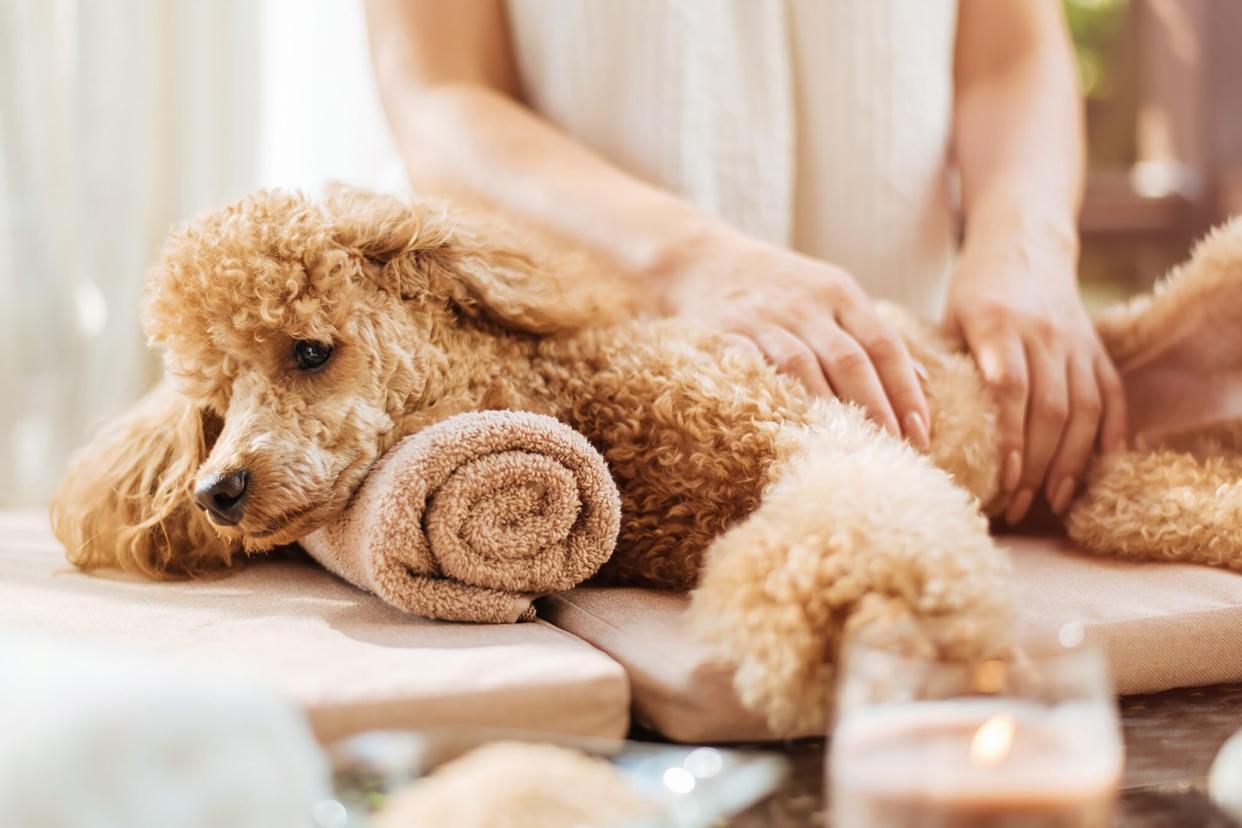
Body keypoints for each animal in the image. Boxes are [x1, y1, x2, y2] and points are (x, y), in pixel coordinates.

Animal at [50, 187, 1242, 729]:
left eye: (308, 350)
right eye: (214, 401)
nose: (219, 490)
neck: (579, 393)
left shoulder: (818, 432)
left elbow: (852, 519)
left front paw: (854, 621)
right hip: (1120, 495)